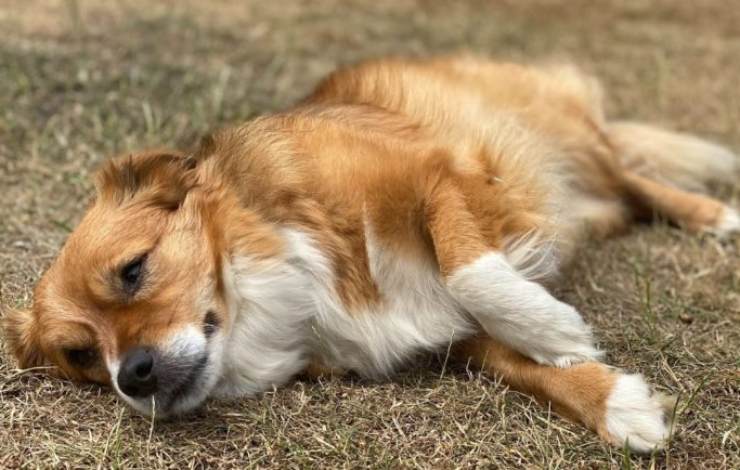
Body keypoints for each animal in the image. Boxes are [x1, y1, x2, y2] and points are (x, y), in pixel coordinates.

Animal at [2, 55, 736, 452]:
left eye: (133, 270)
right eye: (81, 356)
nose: (133, 376)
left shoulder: (438, 172)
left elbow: (467, 270)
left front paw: (547, 324)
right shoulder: (450, 336)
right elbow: (524, 368)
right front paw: (614, 403)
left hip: (563, 137)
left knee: (635, 180)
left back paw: (717, 216)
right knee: (627, 200)